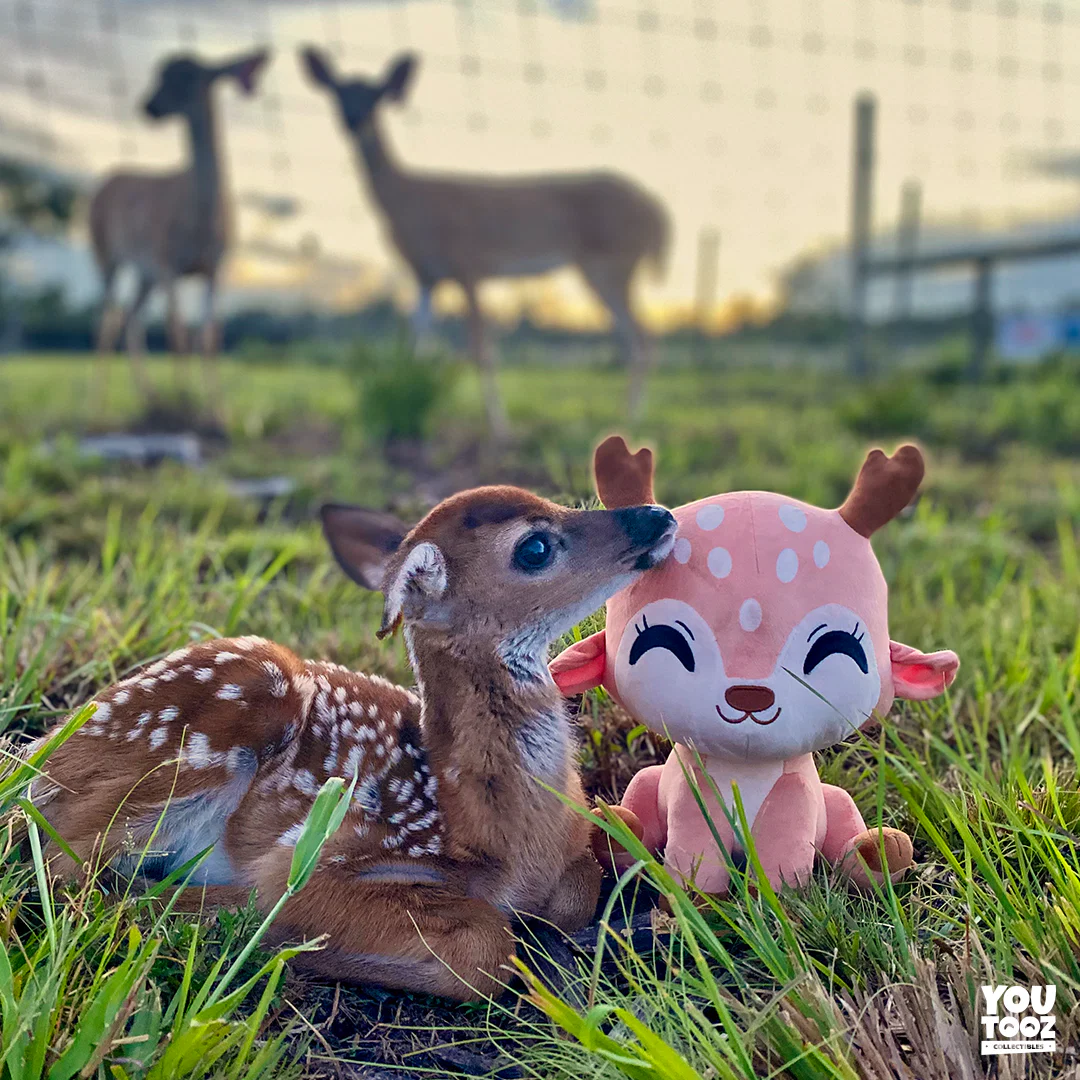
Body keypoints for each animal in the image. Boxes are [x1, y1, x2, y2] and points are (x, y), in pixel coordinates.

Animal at [22, 485, 676, 1000]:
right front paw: (281, 935)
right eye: (534, 547)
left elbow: (579, 888)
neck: (500, 837)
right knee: (62, 866)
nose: (658, 514)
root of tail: (40, 753)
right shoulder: (327, 852)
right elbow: (484, 948)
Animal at [88, 49, 270, 410]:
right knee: (108, 320)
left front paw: (216, 407)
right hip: (106, 254)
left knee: (130, 318)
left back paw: (150, 397)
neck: (201, 221)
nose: (149, 106)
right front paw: (185, 399)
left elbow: (210, 336)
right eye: (159, 75)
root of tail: (101, 186)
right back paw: (96, 404)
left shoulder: (216, 266)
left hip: (144, 274)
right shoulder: (167, 263)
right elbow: (178, 333)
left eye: (189, 77)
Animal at [300, 47, 671, 435]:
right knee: (633, 338)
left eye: (376, 96)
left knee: (644, 338)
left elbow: (481, 349)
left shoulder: (468, 265)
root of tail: (655, 209)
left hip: (611, 263)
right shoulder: (425, 276)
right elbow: (417, 344)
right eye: (338, 93)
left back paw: (630, 420)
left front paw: (499, 426)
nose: (353, 120)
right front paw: (409, 401)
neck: (405, 199)